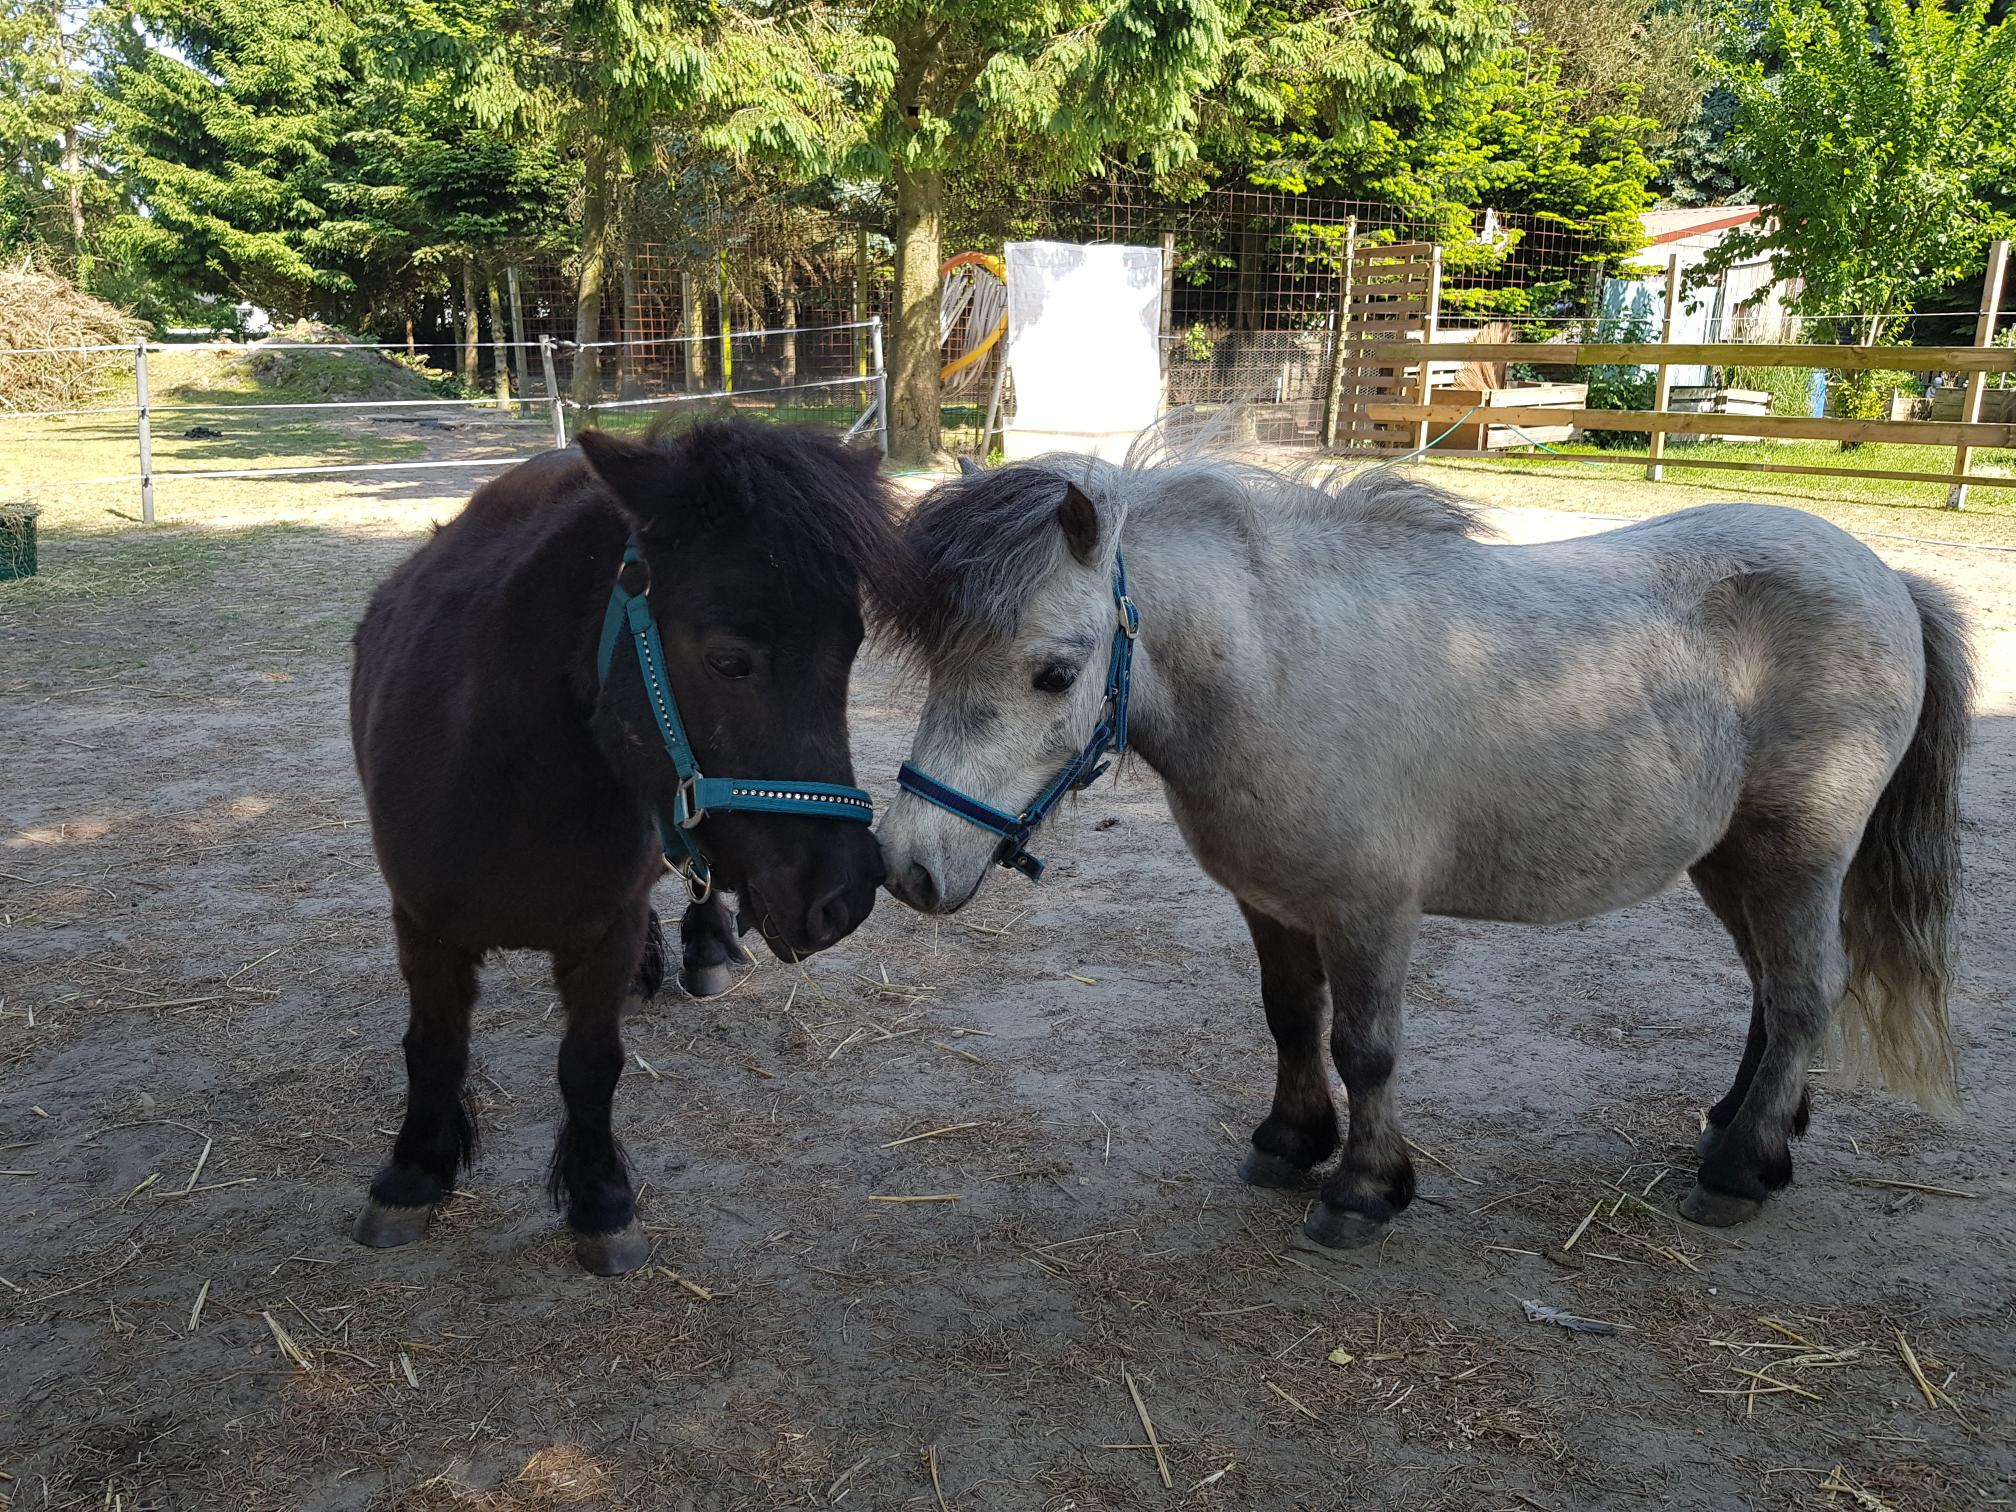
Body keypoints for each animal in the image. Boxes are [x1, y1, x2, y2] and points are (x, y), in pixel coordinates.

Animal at [349, 420, 902, 1273]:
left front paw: (601, 1201)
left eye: (849, 652)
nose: (845, 896)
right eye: (730, 660)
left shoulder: (600, 932)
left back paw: (705, 949)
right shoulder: (424, 926)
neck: (508, 780)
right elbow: (434, 1048)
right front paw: (411, 1176)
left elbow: (590, 1067)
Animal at [876, 451, 1972, 1251]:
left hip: (1798, 855)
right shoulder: (1272, 905)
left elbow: (1366, 1048)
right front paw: (1290, 1144)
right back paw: (1744, 1127)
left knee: (1805, 992)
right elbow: (1290, 1020)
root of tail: (1885, 576)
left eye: (1054, 673)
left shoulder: (1371, 914)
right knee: (1770, 992)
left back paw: (1742, 1174)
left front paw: (1363, 1190)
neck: (1284, 669)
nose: (908, 867)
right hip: (1730, 860)